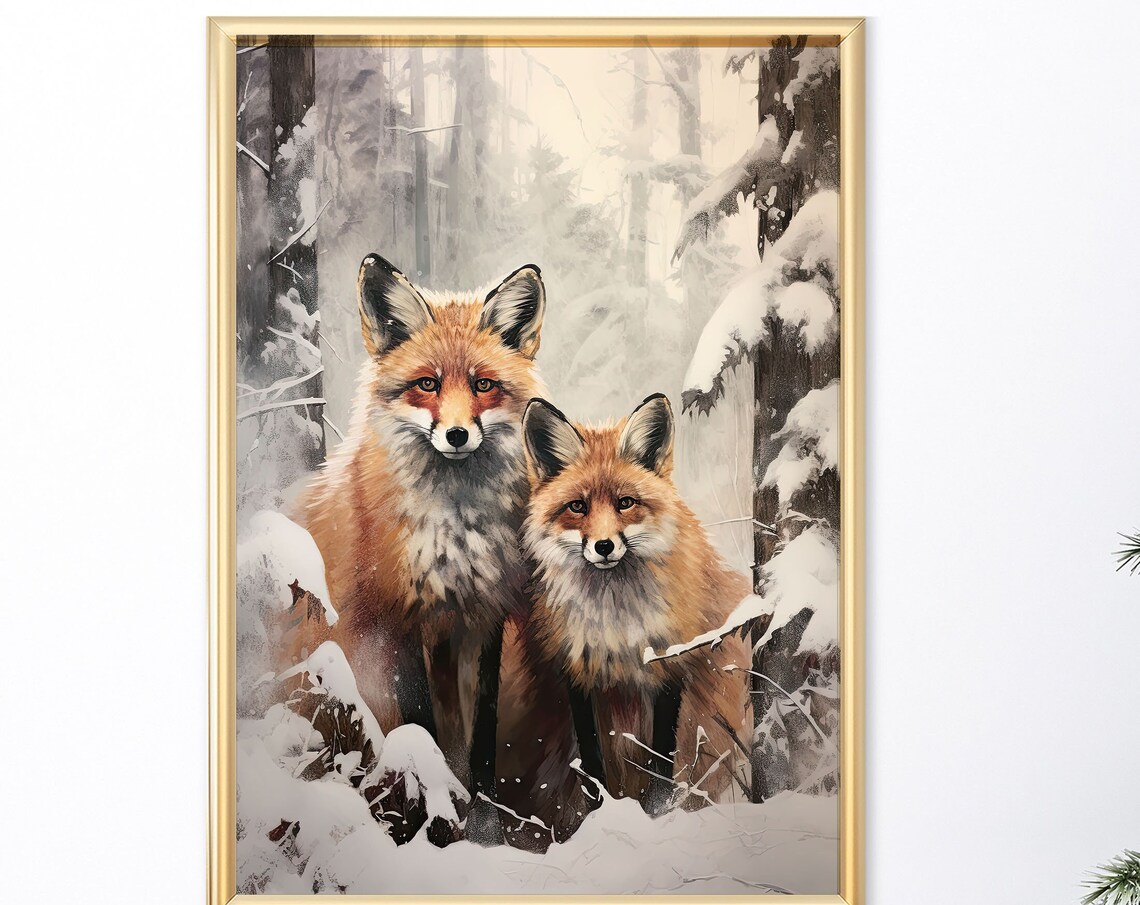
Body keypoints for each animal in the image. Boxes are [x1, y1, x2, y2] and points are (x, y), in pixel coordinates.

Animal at [297, 253, 546, 828]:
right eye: (427, 384)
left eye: (483, 385)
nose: (457, 435)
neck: (455, 531)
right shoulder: (398, 617)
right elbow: (420, 728)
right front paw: (434, 810)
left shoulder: (483, 617)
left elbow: (481, 737)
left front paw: (484, 822)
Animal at [498, 393, 751, 838]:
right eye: (578, 507)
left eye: (625, 503)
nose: (603, 546)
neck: (617, 631)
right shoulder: (577, 678)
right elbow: (592, 768)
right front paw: (600, 820)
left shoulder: (671, 669)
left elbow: (661, 763)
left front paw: (656, 815)